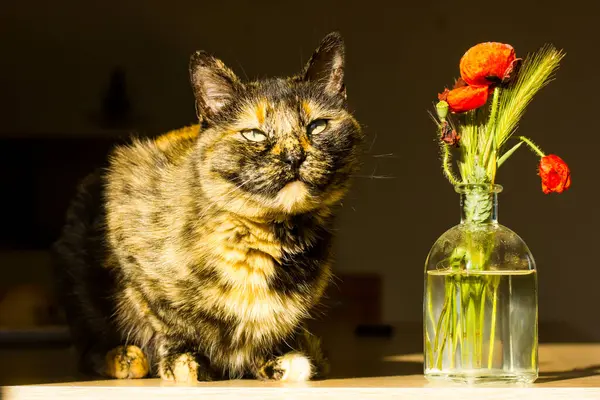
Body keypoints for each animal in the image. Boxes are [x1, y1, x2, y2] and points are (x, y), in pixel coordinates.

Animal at [54, 32, 364, 382]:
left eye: (317, 126)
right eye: (254, 133)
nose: (293, 157)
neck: (266, 239)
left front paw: (278, 358)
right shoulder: (128, 238)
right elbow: (163, 316)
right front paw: (183, 361)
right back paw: (124, 358)